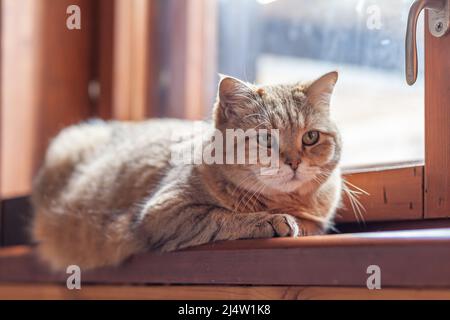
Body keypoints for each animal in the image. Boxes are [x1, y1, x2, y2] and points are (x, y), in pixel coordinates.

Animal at [32, 71, 342, 272]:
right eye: (266, 139)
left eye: (311, 137)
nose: (294, 162)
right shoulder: (163, 211)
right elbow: (222, 217)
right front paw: (271, 220)